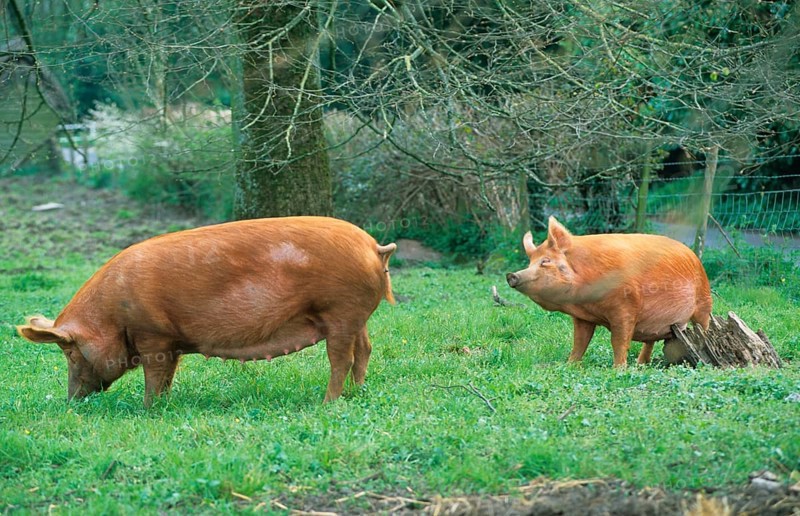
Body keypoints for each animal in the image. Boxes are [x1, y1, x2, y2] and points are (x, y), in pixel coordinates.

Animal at [17, 216, 397, 406]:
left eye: (68, 352)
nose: (70, 401)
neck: (112, 313)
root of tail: (373, 246)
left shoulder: (152, 335)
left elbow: (154, 376)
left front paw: (147, 409)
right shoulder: (170, 342)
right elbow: (167, 377)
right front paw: (163, 405)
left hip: (341, 310)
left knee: (343, 358)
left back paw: (328, 403)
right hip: (354, 315)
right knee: (365, 349)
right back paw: (356, 393)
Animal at [506, 216, 712, 367]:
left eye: (545, 261)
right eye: (530, 262)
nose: (511, 275)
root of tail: (694, 255)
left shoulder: (625, 307)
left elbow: (619, 340)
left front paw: (618, 369)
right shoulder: (583, 317)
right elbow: (580, 342)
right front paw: (569, 365)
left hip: (704, 300)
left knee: (704, 325)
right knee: (650, 340)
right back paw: (640, 364)